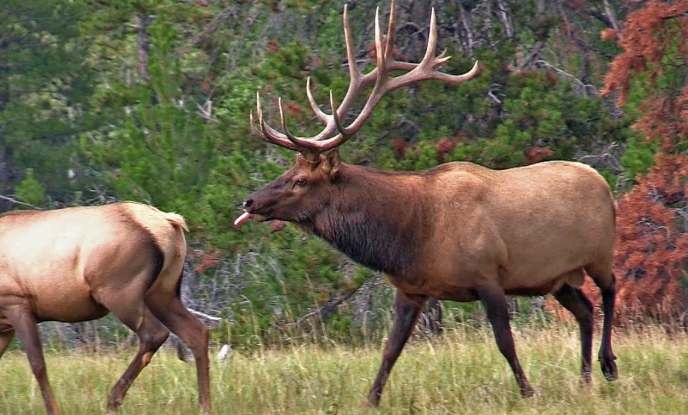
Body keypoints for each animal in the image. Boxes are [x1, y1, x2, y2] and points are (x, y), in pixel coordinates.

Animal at [0, 202, 210, 415]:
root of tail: (170, 221)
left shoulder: (16, 302)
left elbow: (37, 364)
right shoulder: (4, 325)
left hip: (119, 292)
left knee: (155, 333)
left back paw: (113, 400)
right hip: (162, 292)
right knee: (197, 332)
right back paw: (205, 406)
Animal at [235, 0, 620, 404]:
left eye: (301, 180)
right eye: (289, 171)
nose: (250, 201)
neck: (411, 236)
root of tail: (604, 185)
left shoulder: (487, 275)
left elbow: (505, 342)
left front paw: (528, 392)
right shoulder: (410, 290)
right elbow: (391, 349)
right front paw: (370, 400)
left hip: (599, 252)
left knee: (610, 289)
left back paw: (607, 365)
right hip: (557, 277)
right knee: (585, 310)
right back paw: (585, 379)